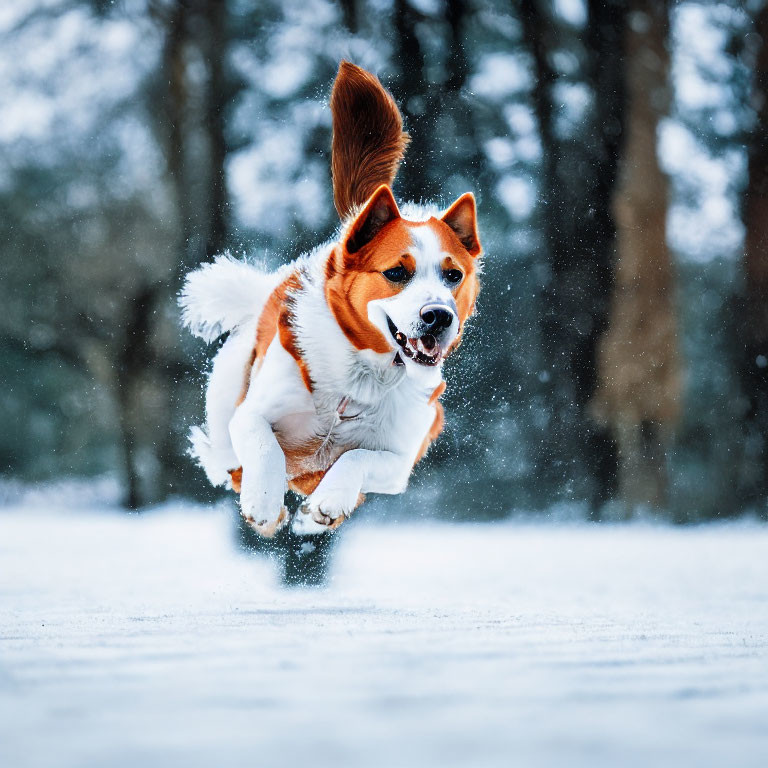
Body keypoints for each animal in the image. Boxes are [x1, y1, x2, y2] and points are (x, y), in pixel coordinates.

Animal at [179, 63, 480, 536]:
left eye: (453, 276)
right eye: (397, 272)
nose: (438, 316)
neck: (362, 379)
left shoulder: (400, 460)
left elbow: (356, 456)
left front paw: (326, 505)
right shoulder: (253, 413)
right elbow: (264, 444)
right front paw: (263, 503)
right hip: (226, 396)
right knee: (228, 459)